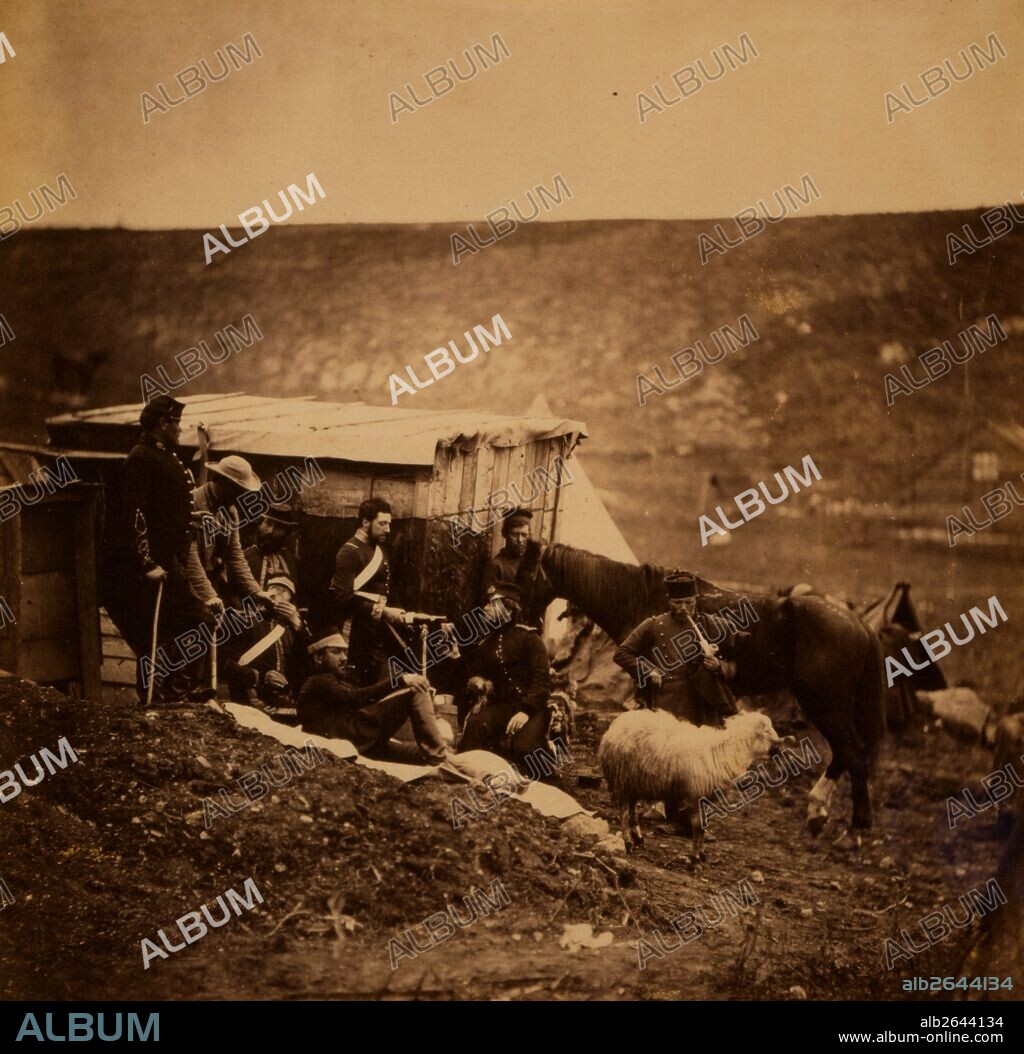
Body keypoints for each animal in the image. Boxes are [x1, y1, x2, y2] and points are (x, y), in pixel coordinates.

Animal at [539, 543, 884, 830]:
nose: (556, 658)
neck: (643, 598)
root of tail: (860, 625)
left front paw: (658, 806)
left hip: (824, 703)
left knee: (852, 750)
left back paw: (854, 825)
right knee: (845, 751)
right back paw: (818, 812)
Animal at [598, 708, 783, 864]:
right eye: (766, 731)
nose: (779, 750)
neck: (723, 752)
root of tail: (617, 723)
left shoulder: (705, 798)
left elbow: (704, 826)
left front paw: (701, 855)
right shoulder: (695, 797)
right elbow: (698, 826)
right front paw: (694, 858)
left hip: (634, 782)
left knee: (632, 810)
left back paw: (638, 837)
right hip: (622, 780)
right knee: (623, 812)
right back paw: (628, 843)